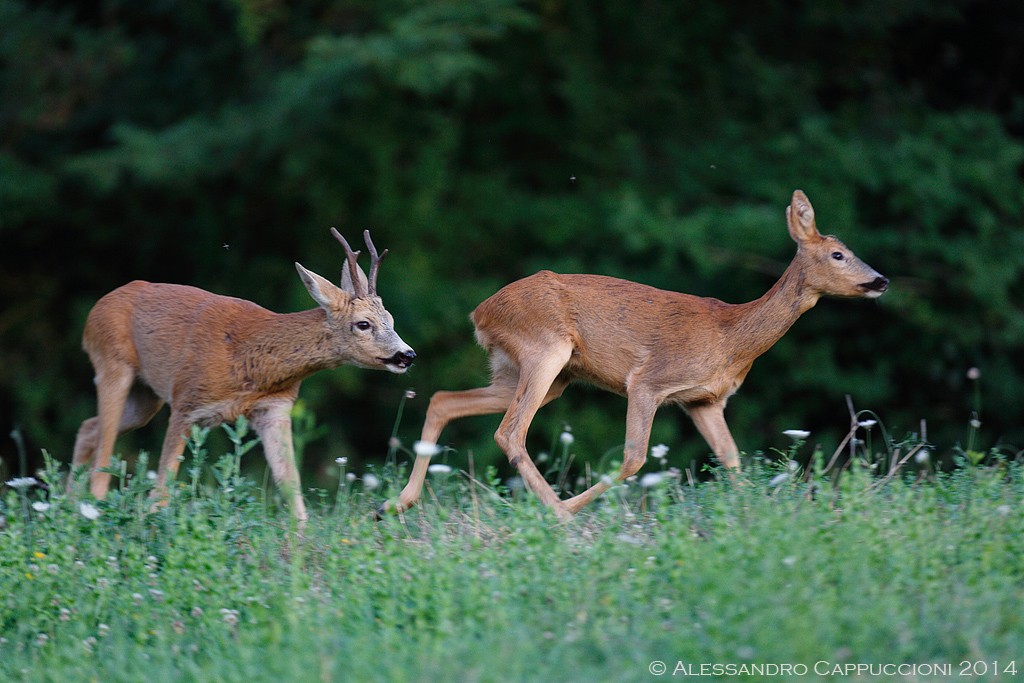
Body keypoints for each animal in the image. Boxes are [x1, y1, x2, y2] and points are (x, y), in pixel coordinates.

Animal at [72, 229, 415, 524]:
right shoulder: (186, 402)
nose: (407, 355)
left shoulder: (274, 410)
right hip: (113, 364)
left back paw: (70, 504)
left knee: (89, 428)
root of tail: (95, 309)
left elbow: (291, 483)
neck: (253, 364)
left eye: (391, 319)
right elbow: (163, 487)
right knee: (103, 452)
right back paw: (90, 512)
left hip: (146, 398)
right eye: (363, 324)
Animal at [385, 189, 888, 520]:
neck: (732, 338)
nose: (881, 280)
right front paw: (573, 509)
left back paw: (396, 503)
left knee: (444, 400)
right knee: (509, 432)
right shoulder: (648, 381)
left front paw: (758, 516)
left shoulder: (704, 400)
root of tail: (480, 311)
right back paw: (558, 514)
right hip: (546, 349)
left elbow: (731, 458)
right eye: (838, 254)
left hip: (536, 374)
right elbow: (633, 458)